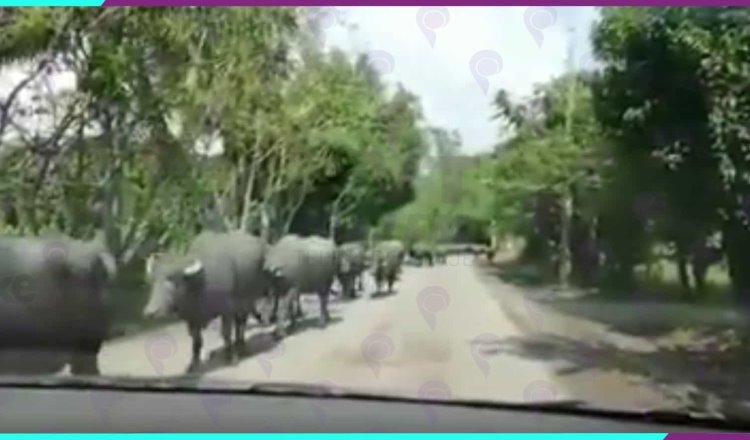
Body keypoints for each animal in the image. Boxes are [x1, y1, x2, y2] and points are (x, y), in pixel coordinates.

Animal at [144, 232, 268, 372]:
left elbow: (226, 334)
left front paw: (231, 358)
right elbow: (196, 341)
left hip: (248, 299)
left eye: (171, 279)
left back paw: (241, 346)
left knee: (241, 322)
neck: (199, 285)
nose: (150, 312)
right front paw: (193, 363)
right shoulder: (192, 318)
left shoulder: (227, 310)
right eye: (154, 280)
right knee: (239, 322)